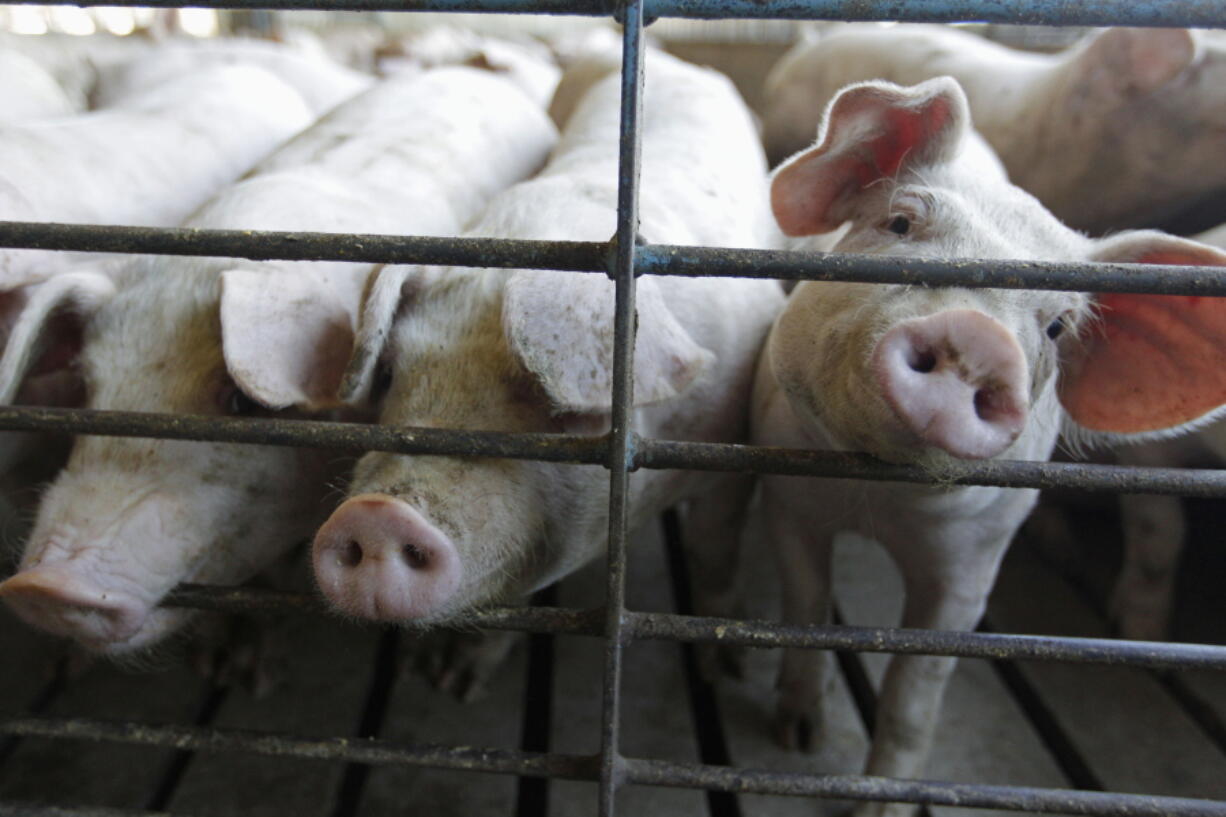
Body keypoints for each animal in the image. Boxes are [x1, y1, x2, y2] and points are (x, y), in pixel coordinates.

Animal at [308, 50, 784, 686]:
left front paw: (733, 669)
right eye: (388, 377)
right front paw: (449, 679)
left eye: (560, 405)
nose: (376, 515)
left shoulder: (732, 452)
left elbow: (715, 548)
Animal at [755, 77, 1226, 814]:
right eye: (901, 224)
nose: (977, 335)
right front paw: (797, 736)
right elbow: (805, 612)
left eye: (1057, 325)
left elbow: (913, 697)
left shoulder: (973, 564)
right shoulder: (787, 495)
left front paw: (882, 803)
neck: (875, 500)